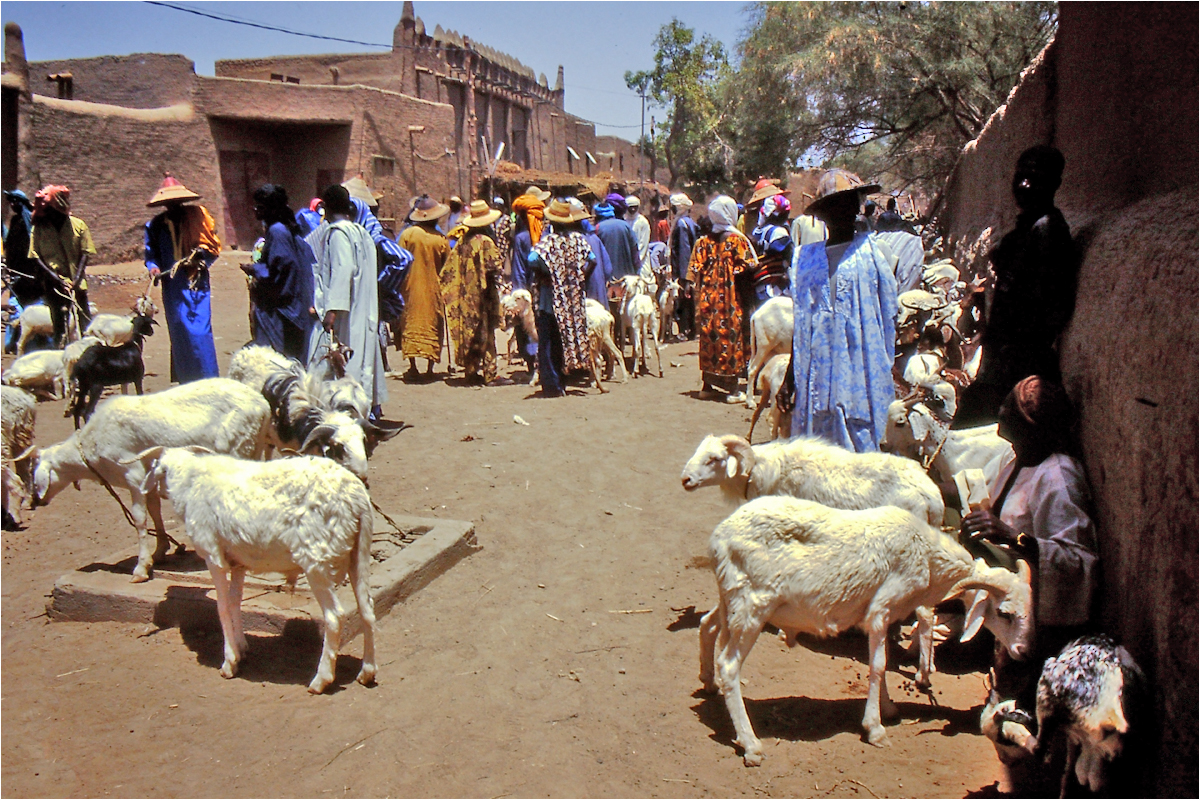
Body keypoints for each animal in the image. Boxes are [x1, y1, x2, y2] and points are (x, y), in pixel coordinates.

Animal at [30, 381, 274, 582]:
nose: (35, 502)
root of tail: (263, 406)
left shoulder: (132, 474)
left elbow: (139, 519)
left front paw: (141, 568)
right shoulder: (149, 477)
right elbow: (155, 510)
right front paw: (160, 551)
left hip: (237, 445)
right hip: (253, 446)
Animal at [134, 443, 374, 695]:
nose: (155, 493)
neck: (189, 483)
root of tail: (356, 497)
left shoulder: (213, 556)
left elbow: (222, 607)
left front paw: (229, 662)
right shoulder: (239, 562)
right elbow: (235, 602)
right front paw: (241, 648)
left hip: (317, 558)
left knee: (334, 616)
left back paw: (321, 680)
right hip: (358, 552)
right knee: (367, 608)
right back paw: (367, 672)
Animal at [700, 496, 1036, 767]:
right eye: (1004, 613)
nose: (1023, 652)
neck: (928, 557)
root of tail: (718, 537)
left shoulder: (885, 617)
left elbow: (882, 663)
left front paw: (887, 708)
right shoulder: (879, 610)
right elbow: (878, 665)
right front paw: (875, 728)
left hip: (731, 598)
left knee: (707, 624)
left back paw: (708, 682)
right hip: (752, 606)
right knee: (729, 665)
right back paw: (751, 744)